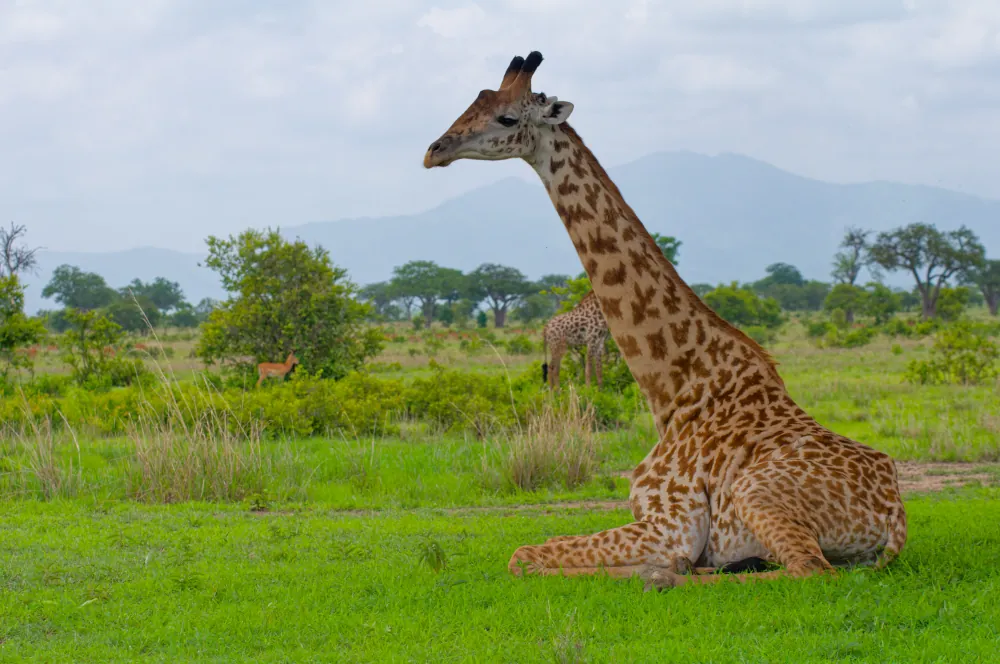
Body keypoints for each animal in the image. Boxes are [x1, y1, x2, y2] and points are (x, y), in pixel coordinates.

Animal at [423, 52, 907, 590]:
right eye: (475, 101)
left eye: (507, 118)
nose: (434, 151)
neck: (673, 390)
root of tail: (896, 514)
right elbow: (545, 545)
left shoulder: (672, 523)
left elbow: (524, 554)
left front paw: (655, 568)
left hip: (758, 494)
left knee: (808, 568)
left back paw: (664, 574)